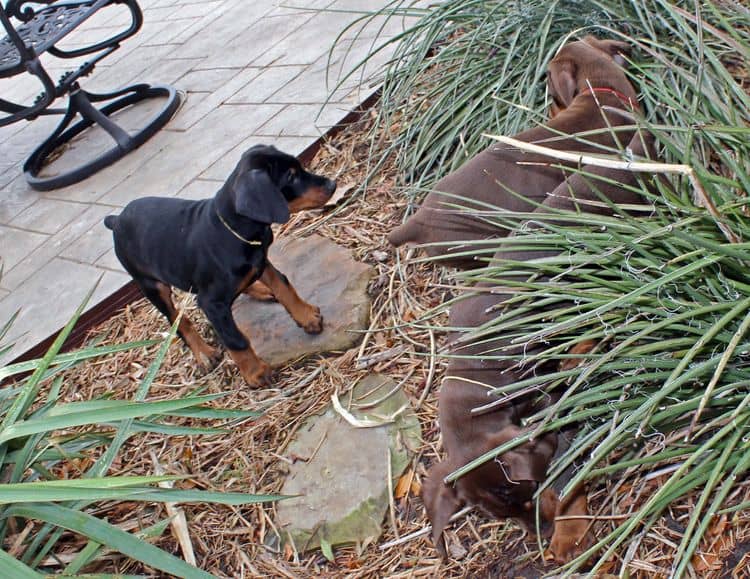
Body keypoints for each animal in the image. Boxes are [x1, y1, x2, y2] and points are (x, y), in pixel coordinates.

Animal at [105, 145, 338, 388]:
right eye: (291, 176)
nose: (332, 185)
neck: (234, 231)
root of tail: (116, 219)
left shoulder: (261, 259)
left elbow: (283, 285)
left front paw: (306, 316)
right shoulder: (211, 304)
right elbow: (235, 339)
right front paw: (256, 373)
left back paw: (259, 289)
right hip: (152, 285)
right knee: (178, 320)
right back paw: (204, 354)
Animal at [424, 130, 656, 560]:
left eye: (529, 491)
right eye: (498, 516)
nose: (541, 532)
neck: (473, 385)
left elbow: (565, 474)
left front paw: (569, 532)